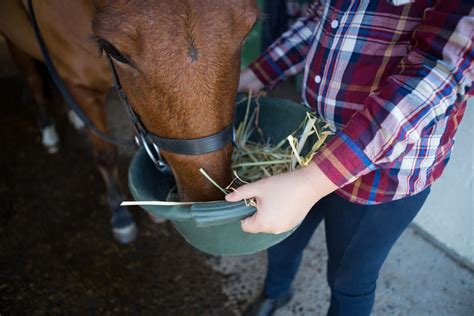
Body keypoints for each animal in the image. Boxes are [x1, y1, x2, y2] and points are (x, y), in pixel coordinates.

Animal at [0, 0, 258, 242]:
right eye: (113, 51)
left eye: (249, 30)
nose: (206, 196)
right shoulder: (82, 89)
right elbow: (106, 154)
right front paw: (119, 213)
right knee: (33, 81)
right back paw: (48, 131)